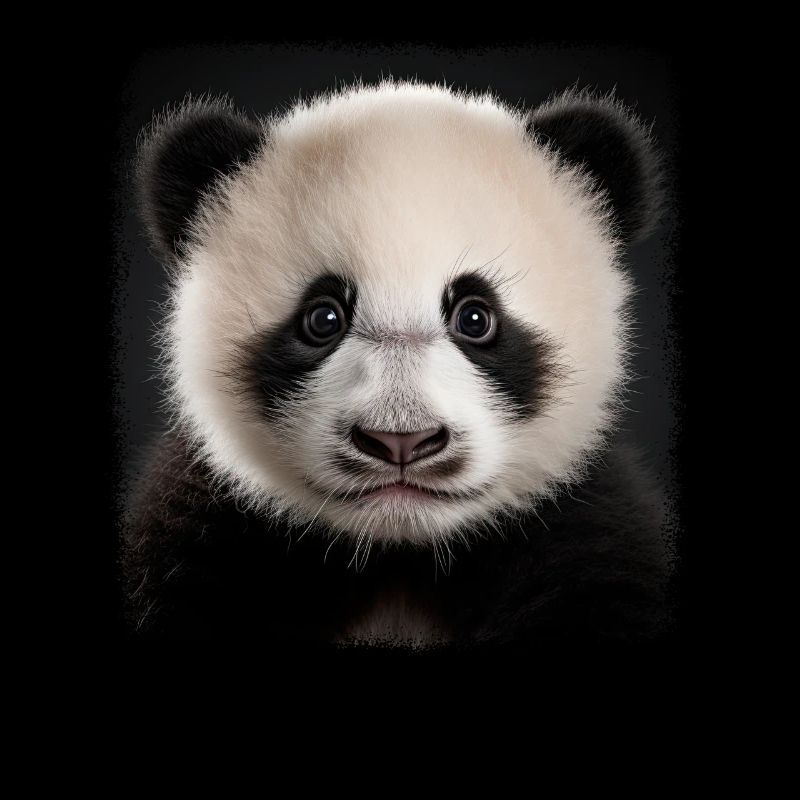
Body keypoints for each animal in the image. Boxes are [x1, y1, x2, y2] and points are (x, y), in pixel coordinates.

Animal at [122, 79, 671, 648]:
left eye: (476, 318)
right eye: (323, 318)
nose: (400, 441)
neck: (399, 557)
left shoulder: (586, 540)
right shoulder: (205, 539)